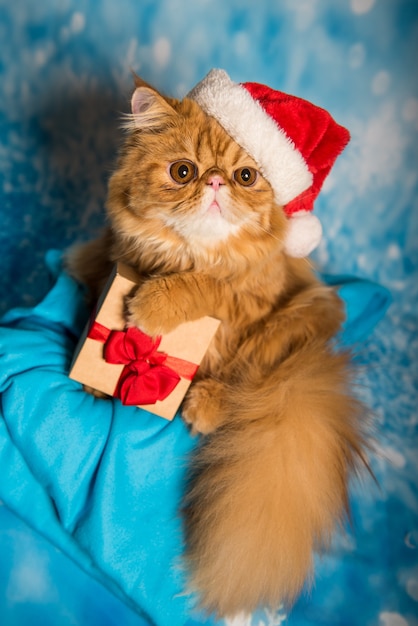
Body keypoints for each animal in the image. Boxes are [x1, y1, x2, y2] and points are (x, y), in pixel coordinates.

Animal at [67, 70, 370, 616]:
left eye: (245, 177)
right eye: (183, 171)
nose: (213, 182)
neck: (191, 252)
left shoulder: (245, 297)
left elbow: (204, 286)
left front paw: (151, 305)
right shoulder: (125, 254)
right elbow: (117, 268)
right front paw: (99, 371)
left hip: (300, 316)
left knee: (245, 375)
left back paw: (204, 404)